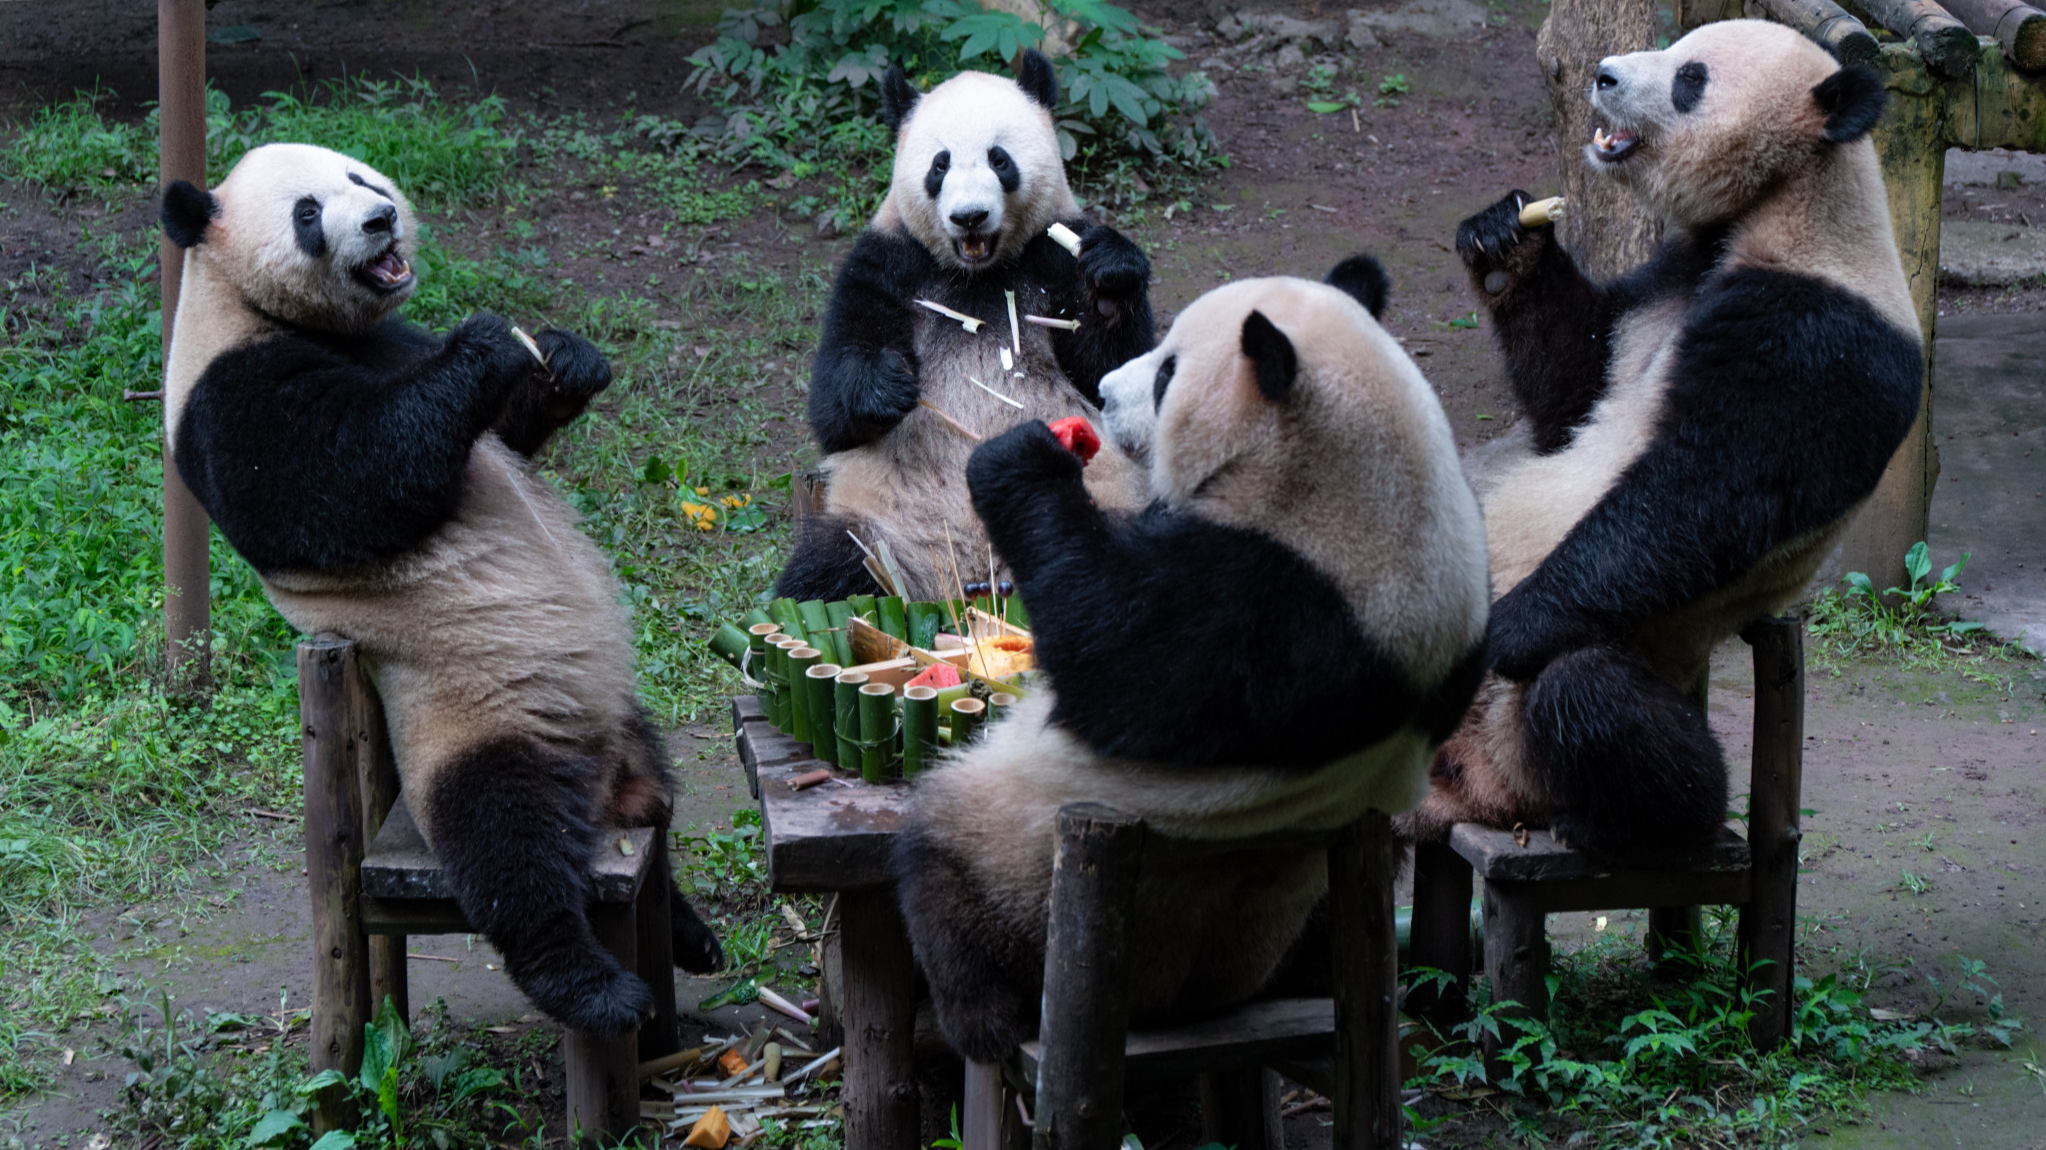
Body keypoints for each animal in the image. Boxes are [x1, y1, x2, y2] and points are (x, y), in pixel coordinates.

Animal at [160, 143, 723, 1034]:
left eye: (362, 180)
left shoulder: (391, 335)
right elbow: (349, 479)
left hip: (620, 719)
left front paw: (565, 359)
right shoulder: (231, 393)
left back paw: (689, 935)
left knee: (656, 819)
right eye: (308, 213)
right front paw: (489, 343)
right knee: (506, 841)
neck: (243, 297)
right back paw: (591, 986)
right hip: (464, 711)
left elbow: (507, 432)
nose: (381, 219)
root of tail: (597, 769)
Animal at [774, 50, 1155, 603]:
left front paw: (1110, 280)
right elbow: (832, 407)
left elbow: (1112, 375)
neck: (978, 272)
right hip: (881, 537)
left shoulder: (1053, 257)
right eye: (941, 163)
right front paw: (887, 387)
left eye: (1000, 159)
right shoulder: (886, 264)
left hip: (1114, 504)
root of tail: (975, 582)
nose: (969, 216)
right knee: (823, 573)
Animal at [890, 256, 1490, 1061]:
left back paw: (977, 1012)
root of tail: (1179, 1002)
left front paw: (1021, 458)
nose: (1104, 394)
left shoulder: (1268, 613)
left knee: (942, 875)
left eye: (1169, 373)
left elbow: (1110, 659)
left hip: (1016, 857)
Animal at [1396, 20, 1922, 861]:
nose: (1604, 76)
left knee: (1590, 700)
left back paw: (1634, 820)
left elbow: (1705, 494)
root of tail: (1467, 789)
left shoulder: (1820, 334)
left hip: (1570, 711)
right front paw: (1504, 240)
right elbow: (1578, 392)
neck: (1789, 204)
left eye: (1690, 78)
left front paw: (1508, 624)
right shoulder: (1672, 275)